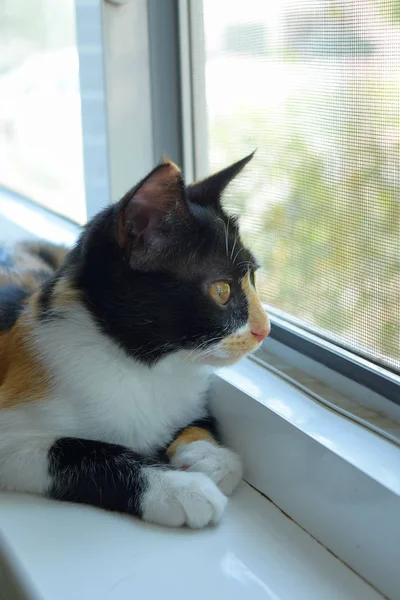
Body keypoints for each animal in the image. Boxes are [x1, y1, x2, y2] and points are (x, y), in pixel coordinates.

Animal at [0, 152, 270, 528]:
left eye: (253, 279)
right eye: (221, 290)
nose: (265, 329)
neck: (145, 366)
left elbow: (198, 418)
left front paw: (209, 456)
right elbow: (73, 451)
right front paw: (179, 487)